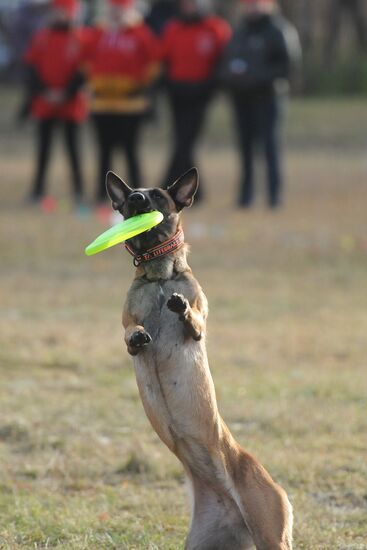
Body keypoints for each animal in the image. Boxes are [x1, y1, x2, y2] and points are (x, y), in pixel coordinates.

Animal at [105, 169, 294, 550]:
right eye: (131, 196)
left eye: (158, 195)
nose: (136, 199)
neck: (159, 276)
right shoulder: (128, 321)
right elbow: (130, 332)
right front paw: (138, 335)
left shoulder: (199, 324)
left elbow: (193, 318)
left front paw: (180, 308)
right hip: (203, 541)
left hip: (271, 532)